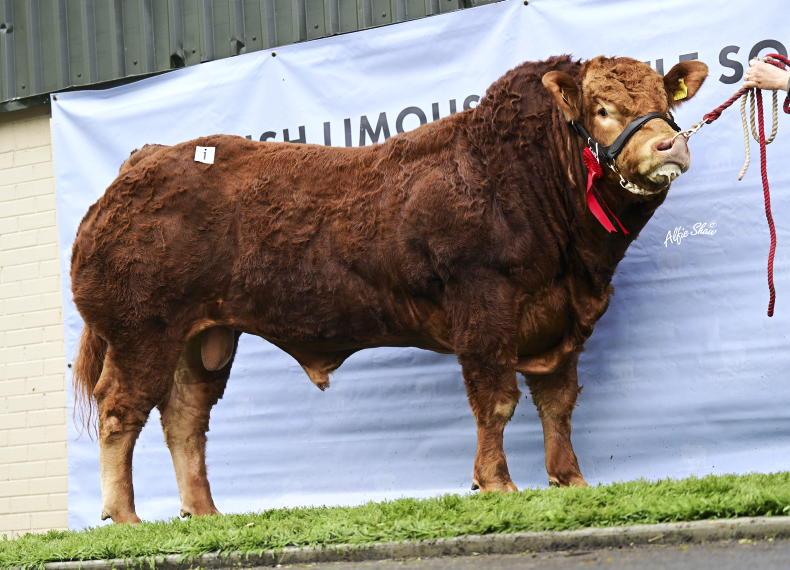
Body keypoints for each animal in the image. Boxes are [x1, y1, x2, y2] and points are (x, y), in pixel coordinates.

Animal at [71, 55, 708, 523]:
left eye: (664, 104)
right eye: (602, 109)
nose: (669, 145)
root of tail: (144, 161)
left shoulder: (561, 323)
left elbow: (559, 404)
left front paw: (570, 480)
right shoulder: (485, 308)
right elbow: (496, 401)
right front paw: (497, 484)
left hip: (203, 337)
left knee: (185, 418)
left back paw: (204, 513)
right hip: (140, 331)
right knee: (121, 410)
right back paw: (125, 517)